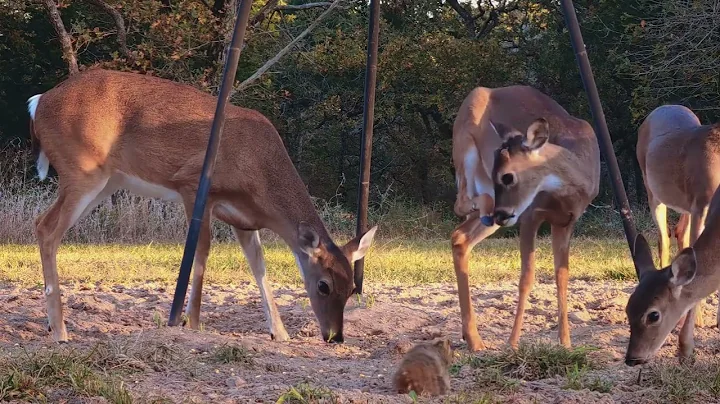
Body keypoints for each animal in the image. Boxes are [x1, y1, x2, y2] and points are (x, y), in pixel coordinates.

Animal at [26, 68, 380, 344]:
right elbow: (201, 251)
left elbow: (259, 267)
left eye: (352, 288)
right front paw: (193, 324)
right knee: (45, 226)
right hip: (82, 169)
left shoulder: (244, 220)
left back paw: (53, 325)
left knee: (45, 224)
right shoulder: (194, 186)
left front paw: (279, 333)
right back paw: (60, 330)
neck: (258, 173)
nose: (335, 336)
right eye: (323, 285)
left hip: (107, 181)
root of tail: (39, 101)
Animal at [450, 84, 600, 350]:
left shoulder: (566, 221)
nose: (502, 213)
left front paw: (565, 342)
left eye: (508, 176)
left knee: (460, 237)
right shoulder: (530, 215)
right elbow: (527, 277)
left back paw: (473, 339)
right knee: (462, 203)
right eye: (497, 174)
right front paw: (512, 342)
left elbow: (562, 274)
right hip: (465, 146)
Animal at [636, 102, 720, 330]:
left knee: (680, 234)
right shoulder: (701, 204)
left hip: (685, 206)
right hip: (653, 191)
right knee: (664, 240)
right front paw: (696, 320)